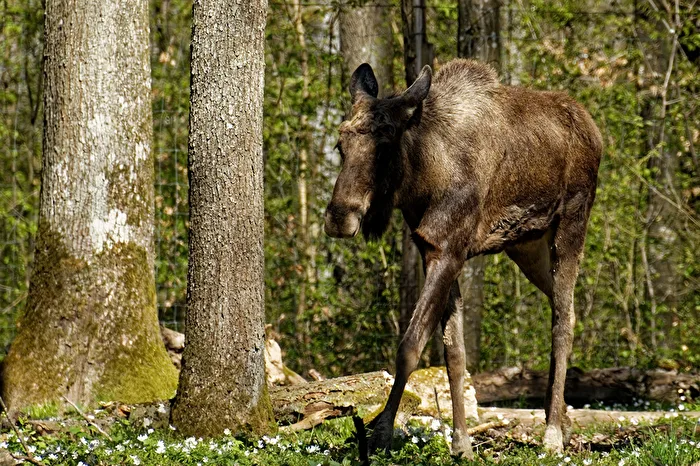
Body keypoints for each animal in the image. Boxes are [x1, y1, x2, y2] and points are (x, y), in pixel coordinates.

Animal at [324, 59, 602, 459]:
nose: (338, 217)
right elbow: (454, 354)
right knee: (565, 307)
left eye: (385, 145)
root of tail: (594, 130)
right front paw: (462, 443)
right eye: (340, 143)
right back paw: (561, 420)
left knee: (563, 321)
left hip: (571, 225)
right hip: (527, 246)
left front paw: (381, 435)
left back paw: (551, 433)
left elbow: (410, 346)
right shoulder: (435, 249)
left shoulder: (449, 250)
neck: (423, 177)